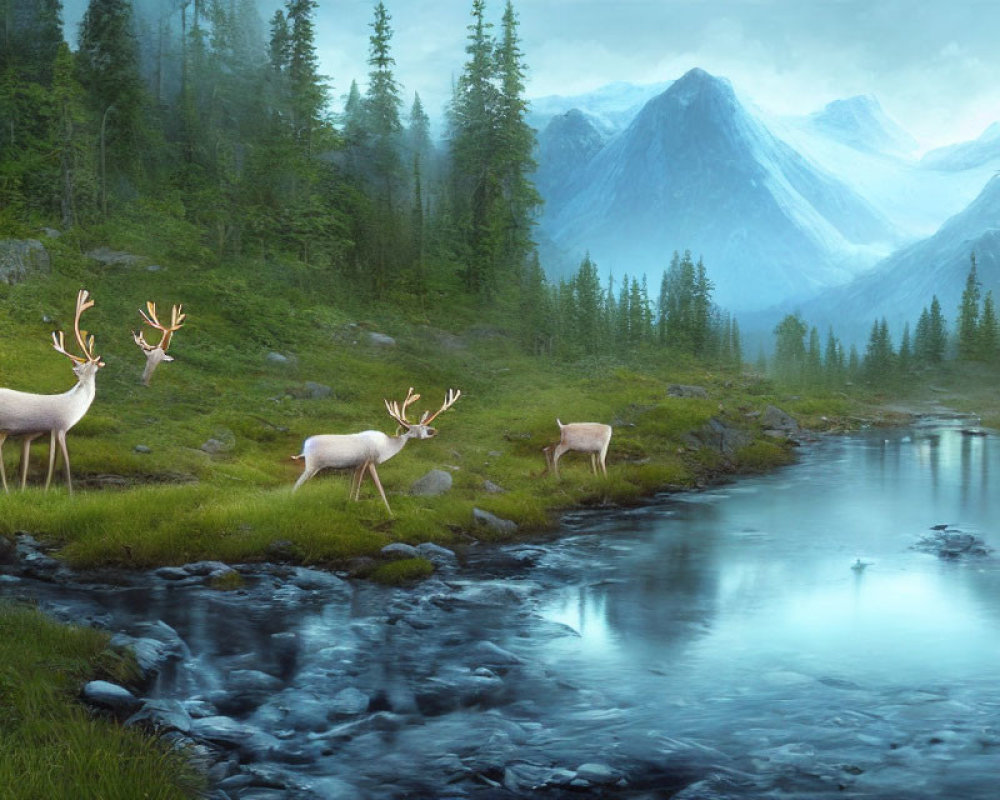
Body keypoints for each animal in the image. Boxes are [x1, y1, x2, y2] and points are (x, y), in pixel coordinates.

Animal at [0, 290, 104, 494]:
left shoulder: (51, 430)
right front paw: (71, 494)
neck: (75, 406)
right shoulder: (61, 426)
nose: (102, 362)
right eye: (92, 364)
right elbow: (65, 463)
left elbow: (53, 461)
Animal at [292, 390, 458, 516]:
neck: (387, 447)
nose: (434, 431)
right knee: (295, 487)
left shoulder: (356, 466)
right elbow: (377, 489)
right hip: (311, 466)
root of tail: (304, 448)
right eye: (422, 428)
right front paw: (390, 513)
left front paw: (349, 504)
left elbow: (352, 489)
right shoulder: (368, 462)